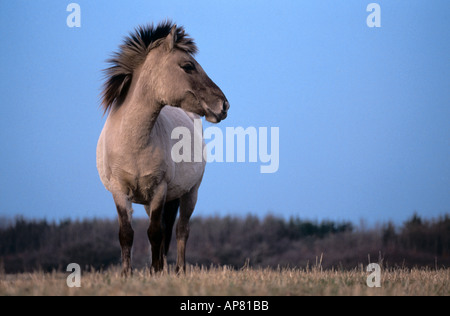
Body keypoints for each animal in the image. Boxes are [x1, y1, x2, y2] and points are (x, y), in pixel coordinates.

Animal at [95, 21, 229, 276]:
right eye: (188, 66)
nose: (224, 105)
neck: (133, 142)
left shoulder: (159, 190)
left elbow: (156, 233)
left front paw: (156, 273)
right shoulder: (120, 192)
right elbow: (127, 234)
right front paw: (127, 274)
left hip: (190, 193)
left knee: (180, 230)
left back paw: (178, 270)